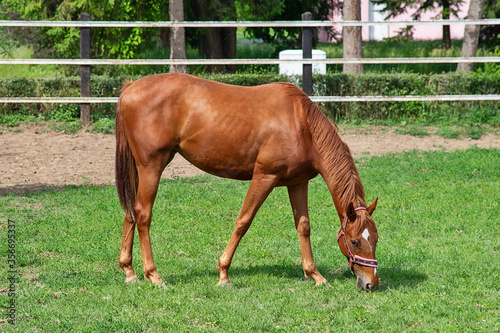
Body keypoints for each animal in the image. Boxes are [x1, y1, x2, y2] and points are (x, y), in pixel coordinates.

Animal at [114, 73, 378, 290]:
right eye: (355, 242)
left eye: (375, 238)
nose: (371, 284)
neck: (301, 123)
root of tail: (130, 87)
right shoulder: (264, 177)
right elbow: (243, 221)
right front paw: (223, 274)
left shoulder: (297, 183)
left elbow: (303, 226)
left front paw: (315, 275)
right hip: (152, 167)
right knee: (143, 214)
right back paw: (153, 275)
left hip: (144, 168)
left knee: (131, 211)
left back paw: (129, 271)